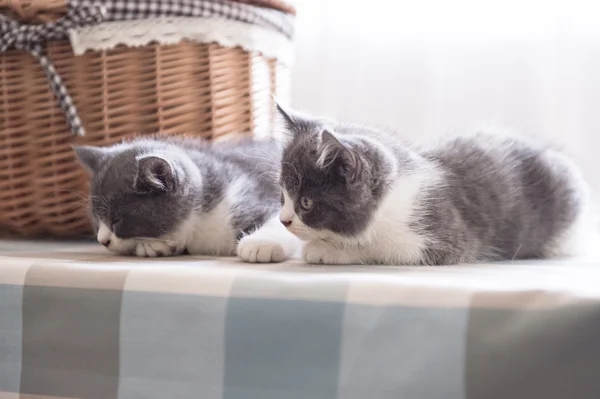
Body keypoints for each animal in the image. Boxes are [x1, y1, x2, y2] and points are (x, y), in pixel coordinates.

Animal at [71, 136, 296, 258]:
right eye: (96, 219)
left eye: (117, 220)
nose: (102, 241)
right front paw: (158, 245)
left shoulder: (252, 192)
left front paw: (261, 244)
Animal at [238, 106, 596, 266]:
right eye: (283, 195)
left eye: (307, 203)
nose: (285, 219)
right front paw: (262, 241)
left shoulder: (449, 239)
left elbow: (384, 249)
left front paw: (328, 250)